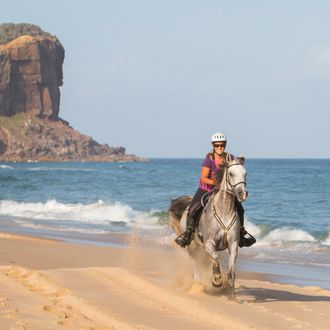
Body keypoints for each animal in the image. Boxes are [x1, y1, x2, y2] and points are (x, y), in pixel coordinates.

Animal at [170, 156, 248, 298]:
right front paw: (217, 279)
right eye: (231, 173)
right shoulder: (209, 243)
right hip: (192, 246)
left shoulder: (233, 244)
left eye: (245, 173)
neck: (224, 210)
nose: (242, 193)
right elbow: (215, 258)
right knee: (196, 266)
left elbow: (230, 270)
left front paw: (232, 294)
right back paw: (198, 286)